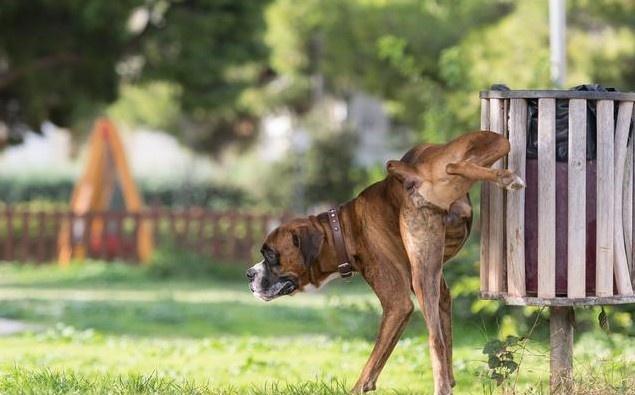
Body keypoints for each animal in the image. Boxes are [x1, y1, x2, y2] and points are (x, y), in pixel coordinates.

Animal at [246, 131, 524, 394]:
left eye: (270, 255)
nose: (249, 274)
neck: (342, 229)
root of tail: (414, 173)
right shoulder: (441, 293)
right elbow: (447, 340)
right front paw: (451, 380)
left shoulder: (397, 304)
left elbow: (374, 359)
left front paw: (358, 388)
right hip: (491, 144)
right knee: (459, 163)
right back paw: (504, 177)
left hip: (422, 277)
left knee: (434, 340)